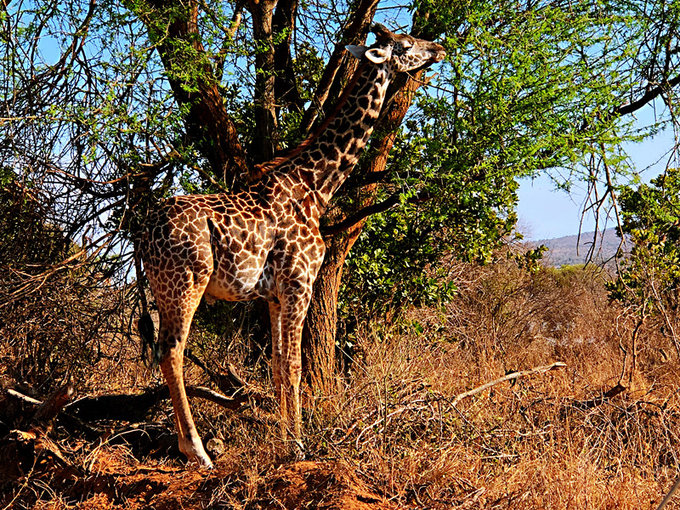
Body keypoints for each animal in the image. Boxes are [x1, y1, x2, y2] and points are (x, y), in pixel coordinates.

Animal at [138, 24, 446, 470]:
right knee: (171, 352)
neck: (316, 188)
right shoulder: (300, 282)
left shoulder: (273, 294)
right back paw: (196, 450)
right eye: (405, 45)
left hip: (164, 288)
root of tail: (143, 231)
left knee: (166, 352)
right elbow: (296, 363)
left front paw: (285, 436)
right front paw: (300, 445)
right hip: (186, 282)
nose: (438, 48)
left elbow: (278, 364)